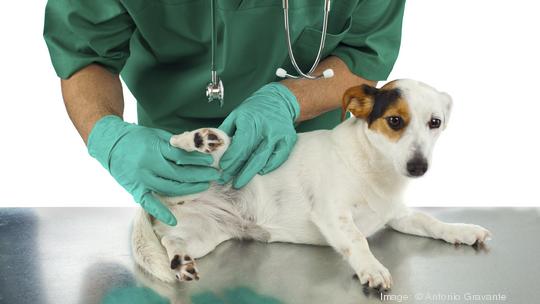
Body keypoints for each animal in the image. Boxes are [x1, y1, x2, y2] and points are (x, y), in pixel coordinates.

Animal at [131, 79, 490, 290]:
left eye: (435, 123)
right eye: (395, 121)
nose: (418, 167)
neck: (373, 166)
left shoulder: (398, 215)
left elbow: (431, 222)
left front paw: (462, 231)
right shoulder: (332, 214)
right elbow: (358, 241)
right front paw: (371, 268)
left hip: (204, 233)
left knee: (173, 241)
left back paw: (180, 261)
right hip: (219, 155)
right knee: (181, 144)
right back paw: (199, 139)